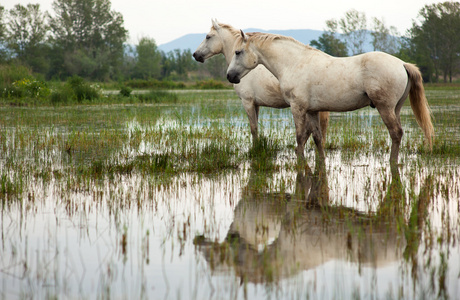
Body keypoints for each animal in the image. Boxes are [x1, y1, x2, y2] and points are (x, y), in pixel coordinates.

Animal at [191, 19, 330, 144]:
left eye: (208, 37)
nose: (195, 55)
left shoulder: (247, 102)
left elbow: (253, 129)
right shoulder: (256, 104)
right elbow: (256, 127)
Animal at [228, 30, 434, 164]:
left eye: (238, 52)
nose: (230, 76)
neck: (295, 63)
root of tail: (402, 64)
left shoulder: (297, 108)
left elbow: (300, 138)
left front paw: (300, 161)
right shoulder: (312, 110)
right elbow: (317, 138)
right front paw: (320, 161)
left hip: (385, 108)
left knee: (396, 133)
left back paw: (392, 162)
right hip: (395, 108)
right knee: (397, 133)